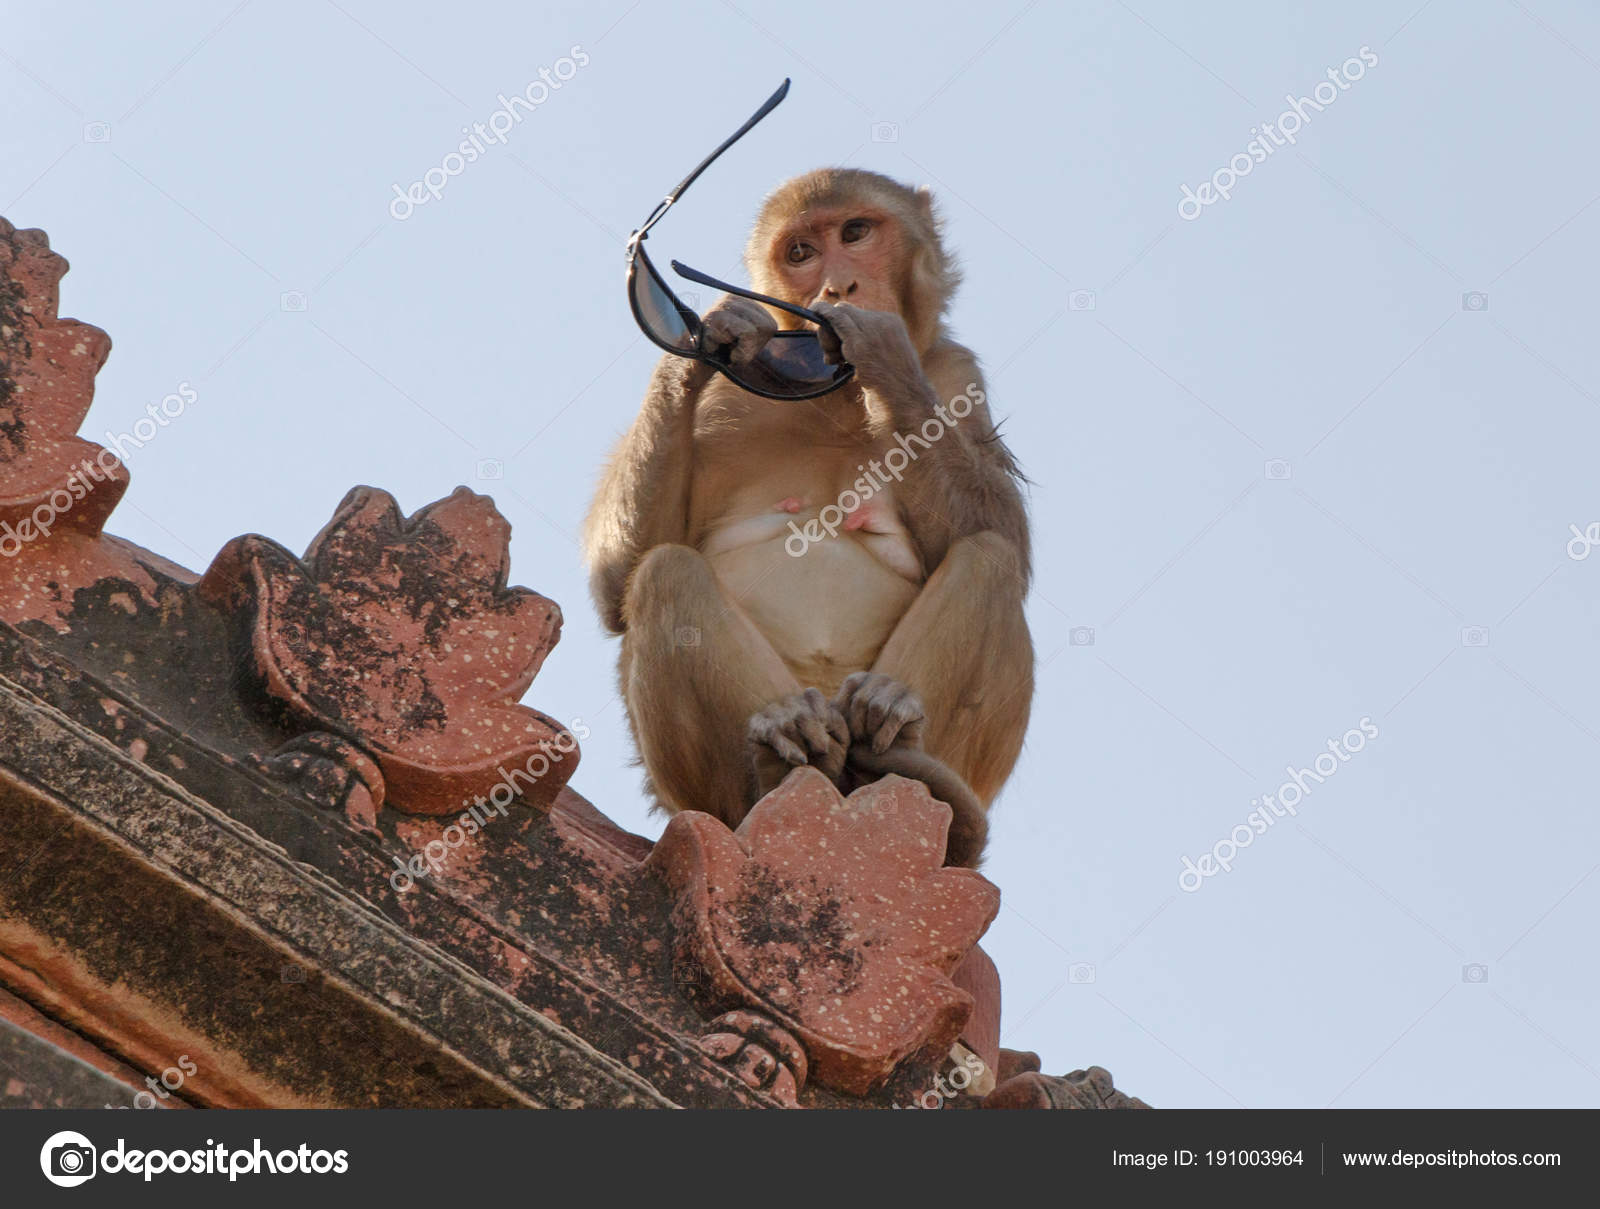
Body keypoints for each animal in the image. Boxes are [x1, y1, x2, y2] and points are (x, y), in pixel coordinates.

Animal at [583, 168, 1032, 867]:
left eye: (855, 233)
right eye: (801, 253)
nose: (837, 286)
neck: (834, 396)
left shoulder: (958, 373)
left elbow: (1007, 535)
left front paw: (884, 355)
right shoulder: (728, 390)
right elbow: (616, 581)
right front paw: (702, 337)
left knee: (991, 558)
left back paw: (902, 759)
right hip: (708, 792)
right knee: (664, 572)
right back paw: (779, 761)